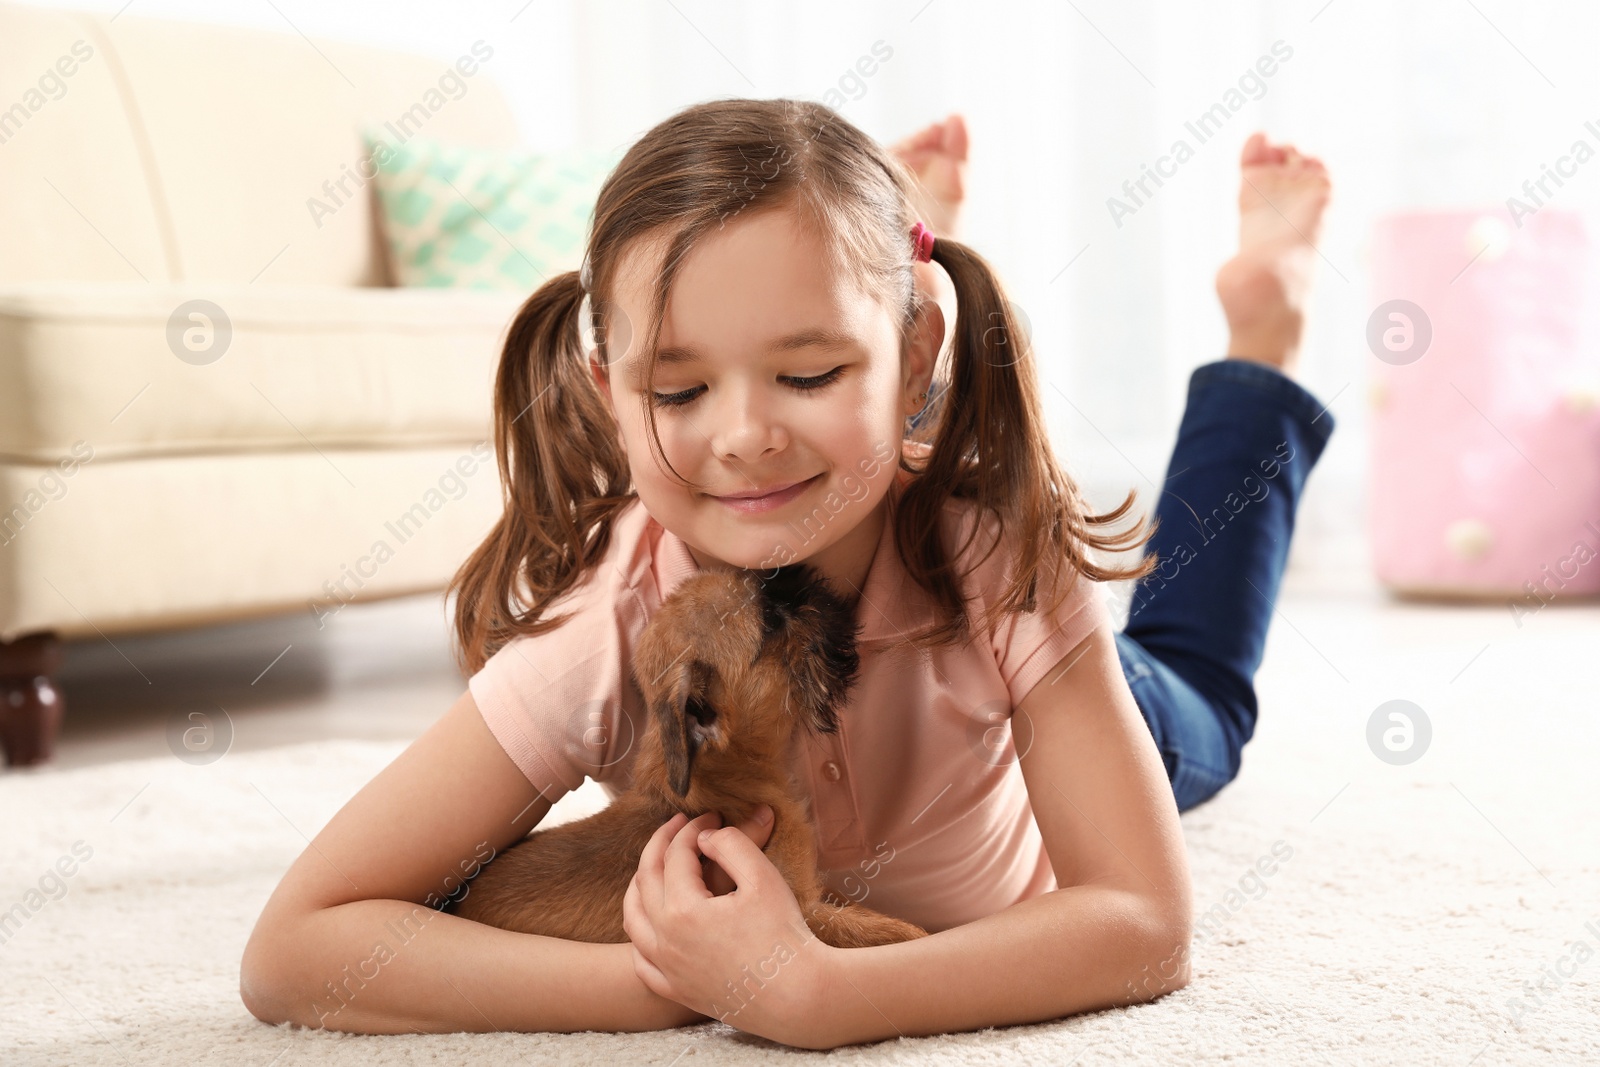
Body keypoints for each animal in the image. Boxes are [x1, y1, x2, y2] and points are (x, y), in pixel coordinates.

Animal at [444, 563, 934, 947]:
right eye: (771, 618)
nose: (790, 574)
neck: (729, 775)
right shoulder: (803, 912)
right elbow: (879, 930)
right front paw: (917, 934)